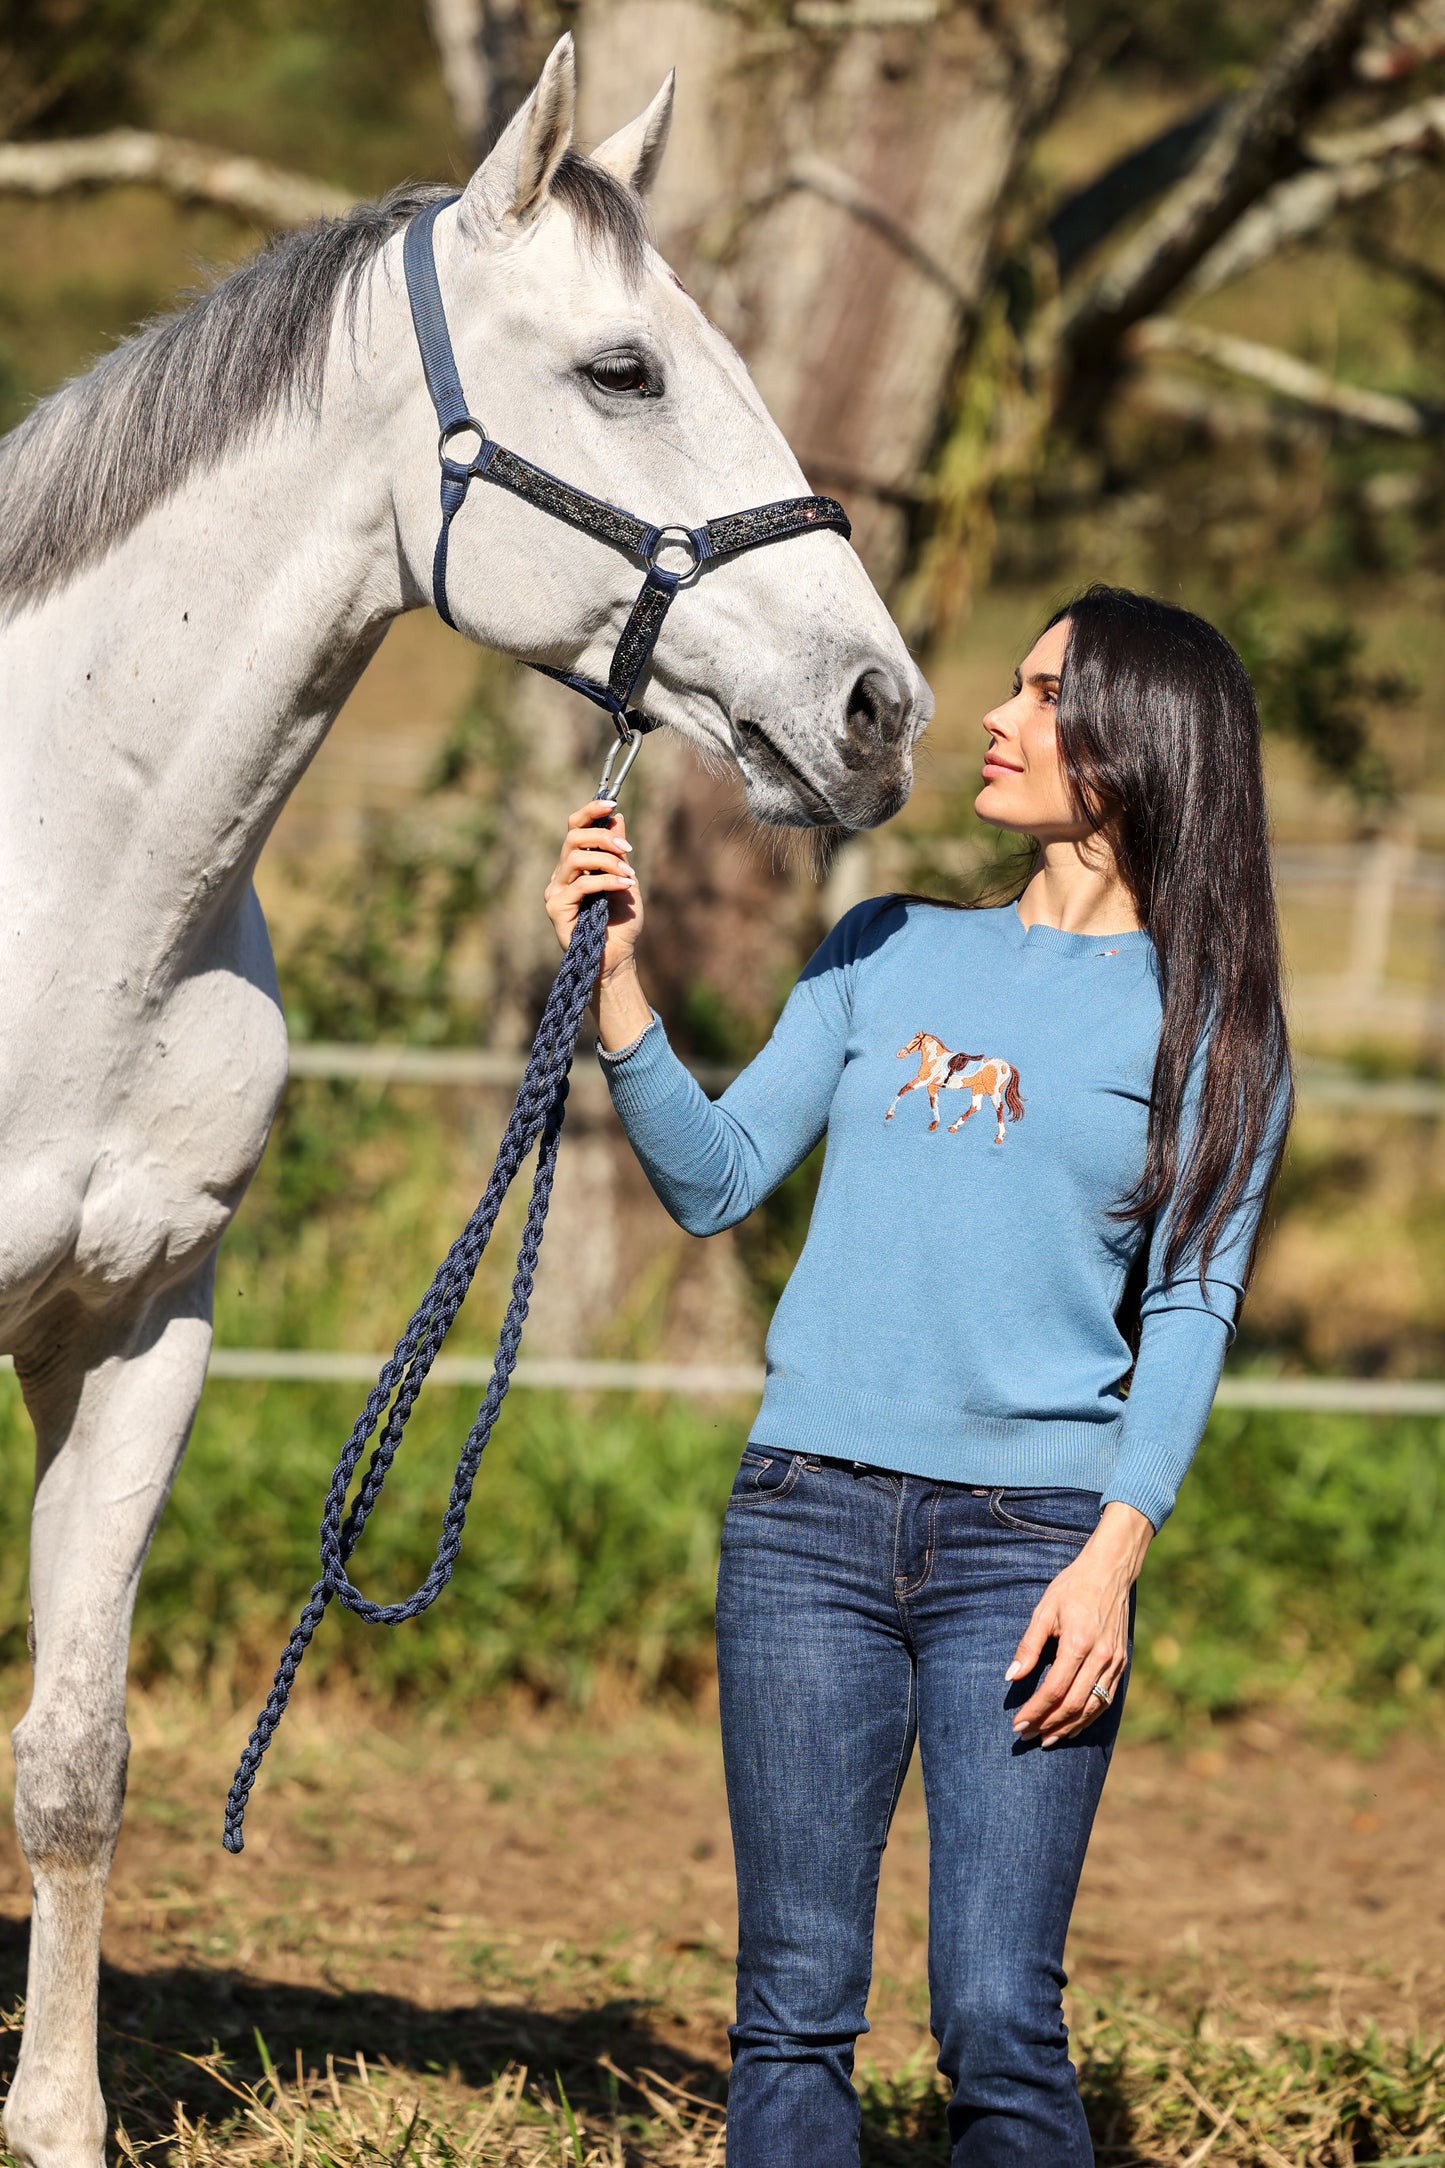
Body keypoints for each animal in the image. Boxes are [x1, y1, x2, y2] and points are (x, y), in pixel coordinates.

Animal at [0, 36, 931, 2166]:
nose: (881, 709)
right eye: (624, 369)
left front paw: (55, 2119)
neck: (64, 887)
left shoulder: (142, 1326)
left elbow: (76, 1755)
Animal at [886, 1031, 1025, 1143]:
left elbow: (903, 1089)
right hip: (978, 1088)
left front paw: (889, 1113)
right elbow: (934, 1102)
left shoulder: (922, 1081)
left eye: (915, 1041)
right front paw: (935, 1123)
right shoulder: (932, 1086)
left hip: (993, 1091)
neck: (935, 1059)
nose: (900, 1053)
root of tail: (1006, 1065)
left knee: (999, 1109)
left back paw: (999, 1137)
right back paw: (954, 1127)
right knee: (975, 1106)